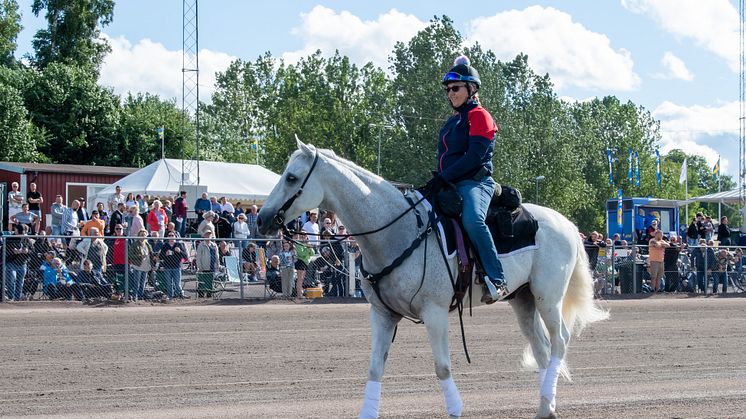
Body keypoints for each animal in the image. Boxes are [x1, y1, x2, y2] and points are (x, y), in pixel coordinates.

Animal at [258, 141, 608, 419]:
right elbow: (375, 368)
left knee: (559, 341)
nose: (262, 218)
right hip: (523, 300)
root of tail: (566, 223)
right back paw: (545, 406)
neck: (397, 231)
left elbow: (442, 367)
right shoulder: (382, 314)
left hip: (548, 297)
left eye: (291, 177)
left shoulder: (435, 312)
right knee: (542, 348)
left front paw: (455, 410)